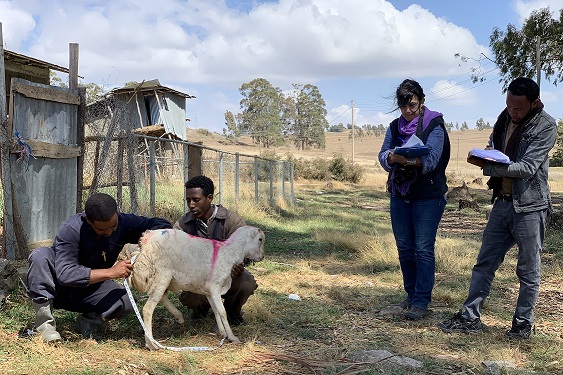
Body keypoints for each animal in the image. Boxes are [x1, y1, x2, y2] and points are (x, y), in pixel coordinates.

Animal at [126, 225, 266, 352]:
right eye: (260, 239)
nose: (262, 257)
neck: (230, 252)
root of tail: (146, 239)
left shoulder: (209, 291)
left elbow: (216, 311)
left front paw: (223, 333)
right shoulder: (215, 287)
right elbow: (222, 312)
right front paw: (232, 337)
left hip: (162, 278)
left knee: (163, 297)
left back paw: (179, 317)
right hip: (162, 274)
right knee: (148, 309)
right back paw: (151, 344)